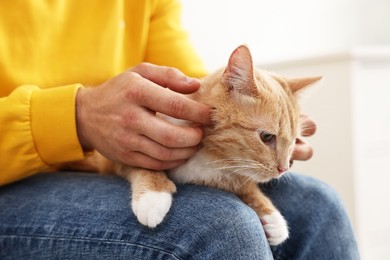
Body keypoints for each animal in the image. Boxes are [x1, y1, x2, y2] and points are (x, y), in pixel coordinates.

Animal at [63, 45, 320, 246]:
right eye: (267, 137)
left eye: (293, 141)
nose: (283, 169)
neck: (209, 155)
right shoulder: (123, 151)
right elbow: (145, 165)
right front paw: (153, 197)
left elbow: (246, 185)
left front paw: (271, 215)